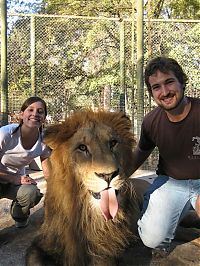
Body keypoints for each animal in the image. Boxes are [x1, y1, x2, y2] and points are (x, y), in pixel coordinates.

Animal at [26, 109, 200, 266]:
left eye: (113, 143)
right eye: (82, 148)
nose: (108, 175)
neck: (88, 214)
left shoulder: (105, 250)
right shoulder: (43, 242)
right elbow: (33, 260)